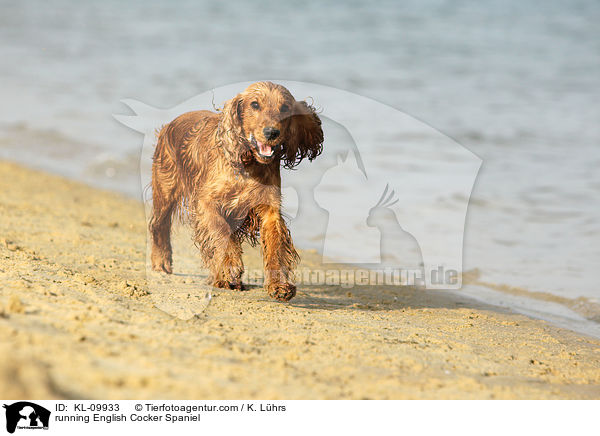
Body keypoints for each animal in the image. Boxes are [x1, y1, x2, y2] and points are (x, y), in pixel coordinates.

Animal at [149, 81, 324, 300]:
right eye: (255, 104)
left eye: (285, 107)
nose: (271, 132)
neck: (247, 163)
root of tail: (168, 126)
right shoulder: (206, 203)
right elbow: (221, 231)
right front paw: (231, 264)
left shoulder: (269, 209)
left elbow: (275, 246)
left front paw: (279, 285)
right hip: (166, 192)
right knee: (158, 225)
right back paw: (162, 262)